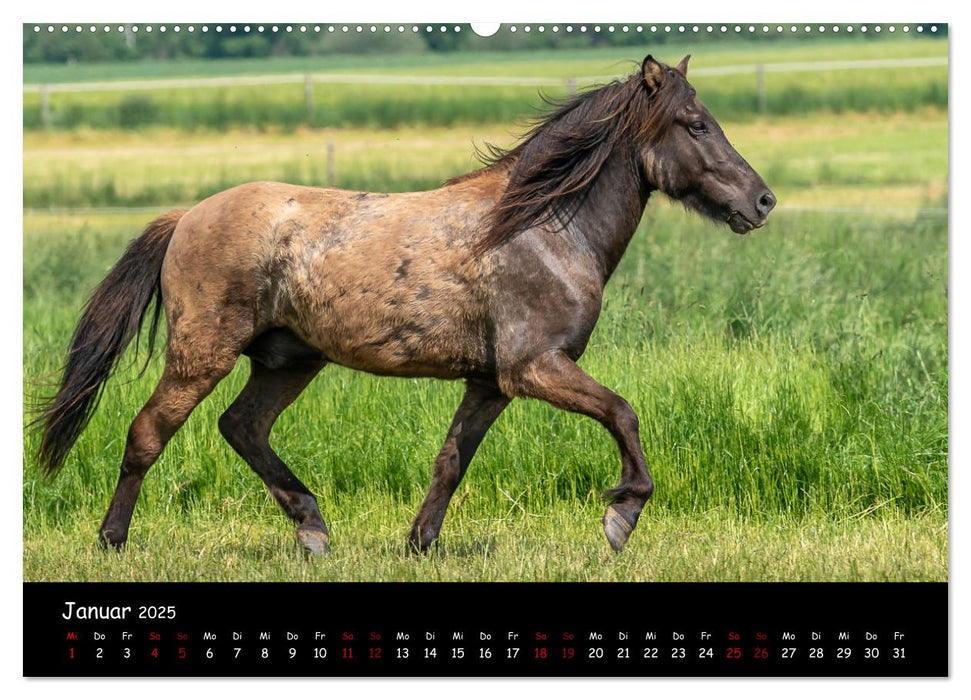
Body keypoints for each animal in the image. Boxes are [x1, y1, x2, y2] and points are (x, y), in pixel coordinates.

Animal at [36, 56, 776, 556]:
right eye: (694, 124)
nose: (762, 201)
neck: (541, 228)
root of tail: (186, 217)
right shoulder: (535, 368)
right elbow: (622, 412)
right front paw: (621, 516)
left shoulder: (490, 383)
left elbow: (452, 459)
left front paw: (420, 542)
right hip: (202, 355)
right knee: (148, 433)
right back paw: (112, 539)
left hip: (288, 361)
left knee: (241, 428)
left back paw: (312, 529)